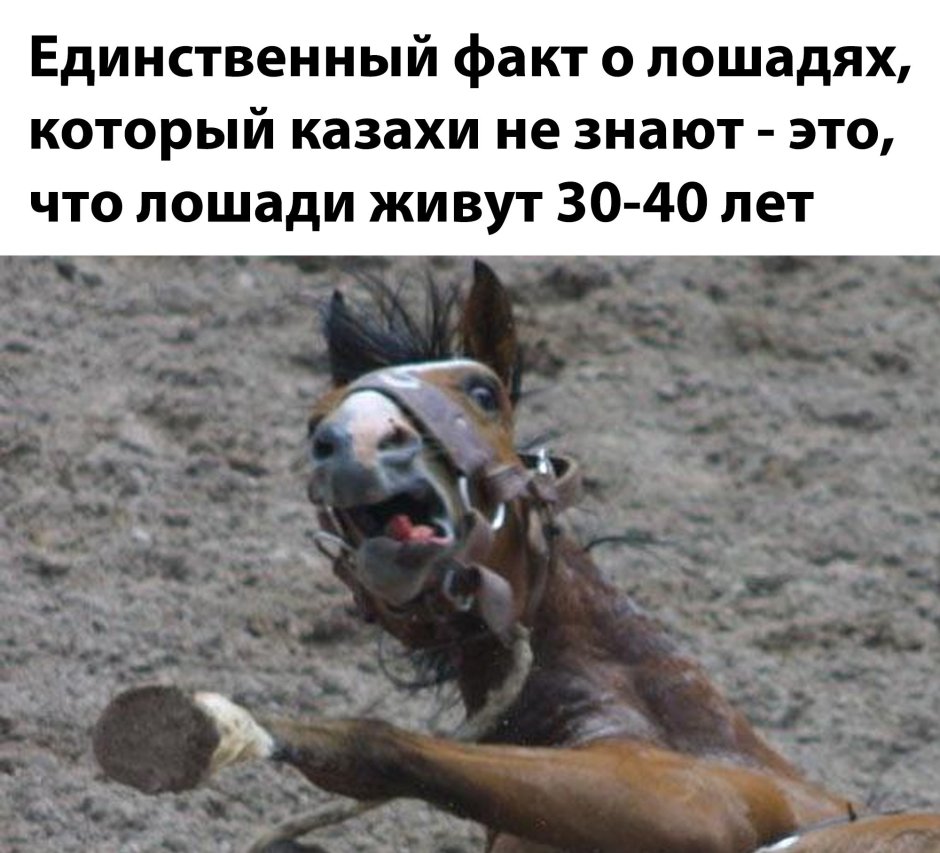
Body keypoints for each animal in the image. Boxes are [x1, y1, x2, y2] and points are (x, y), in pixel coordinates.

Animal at [93, 262, 940, 852]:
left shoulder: (687, 803)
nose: (354, 441)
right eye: (315, 420)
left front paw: (211, 726)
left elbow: (380, 743)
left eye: (482, 391)